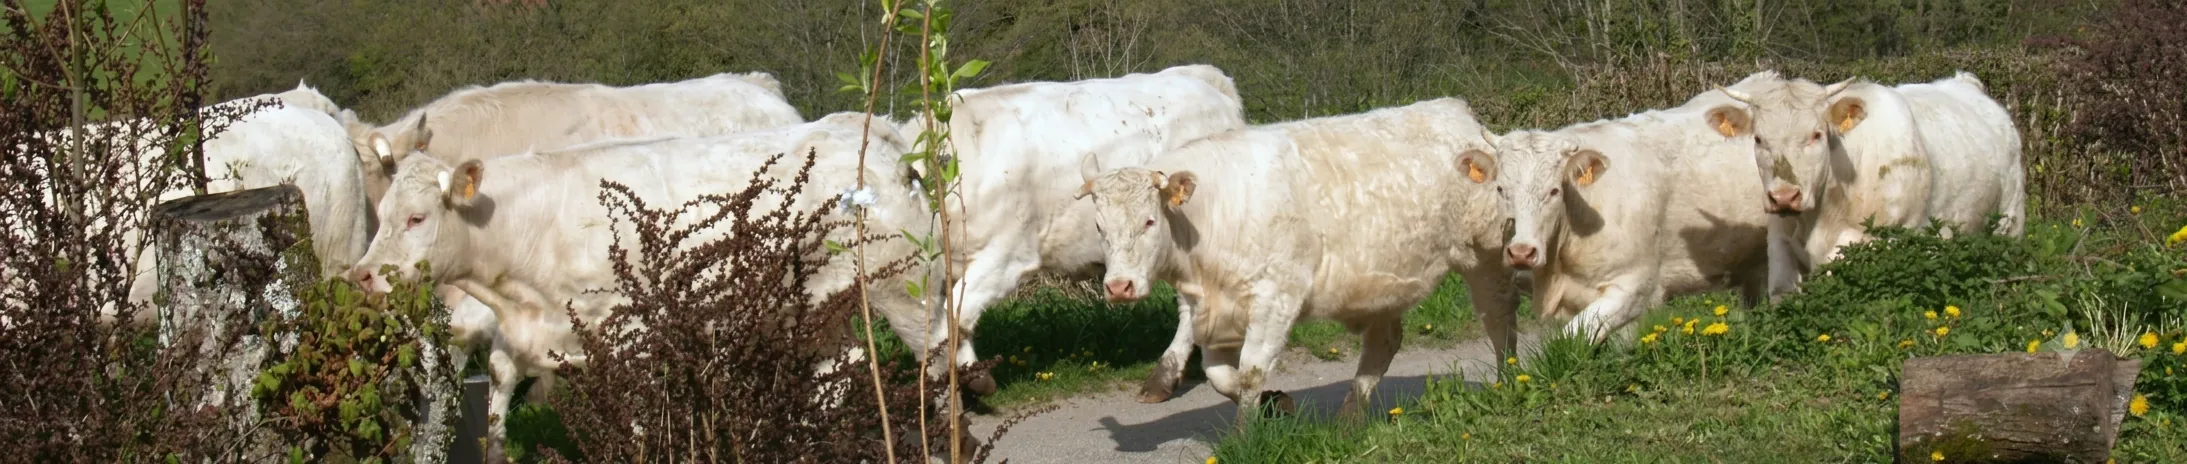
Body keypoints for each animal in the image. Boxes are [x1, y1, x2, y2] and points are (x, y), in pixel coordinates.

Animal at [346, 112, 937, 457]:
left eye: (418, 218)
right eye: (384, 211)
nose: (363, 275)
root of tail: (867, 133)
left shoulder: (627, 336)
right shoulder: (519, 336)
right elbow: (495, 411)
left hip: (906, 285)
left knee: (936, 352)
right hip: (819, 305)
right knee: (840, 368)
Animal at [1077, 98, 1518, 423]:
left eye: (1149, 221)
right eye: (1099, 226)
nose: (1118, 287)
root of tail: (1453, 109)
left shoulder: (1277, 298)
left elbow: (1252, 370)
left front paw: (1246, 434)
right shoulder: (1206, 309)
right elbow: (1221, 376)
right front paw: (1275, 403)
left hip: (1487, 256)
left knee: (1500, 319)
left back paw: (1509, 379)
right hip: (1384, 281)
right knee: (1383, 343)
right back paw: (1350, 419)